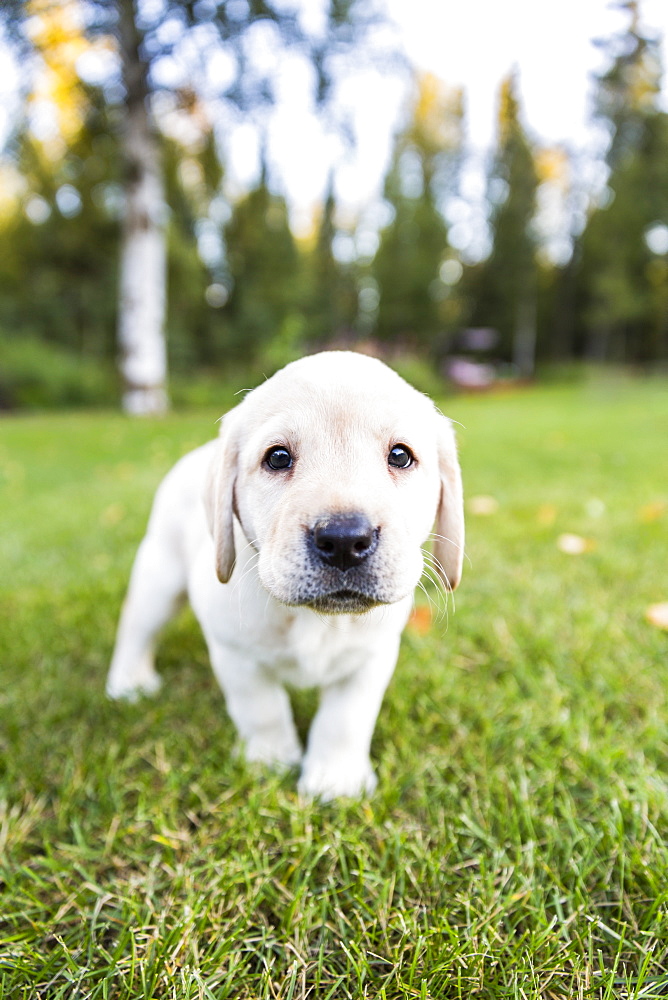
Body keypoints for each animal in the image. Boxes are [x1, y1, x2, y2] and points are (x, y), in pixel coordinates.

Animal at [108, 352, 464, 796]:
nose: (344, 539)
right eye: (278, 458)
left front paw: (335, 781)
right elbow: (262, 710)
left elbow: (346, 719)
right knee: (137, 627)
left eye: (400, 456)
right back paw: (128, 683)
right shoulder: (235, 653)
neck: (315, 619)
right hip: (159, 574)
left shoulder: (372, 656)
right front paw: (271, 762)